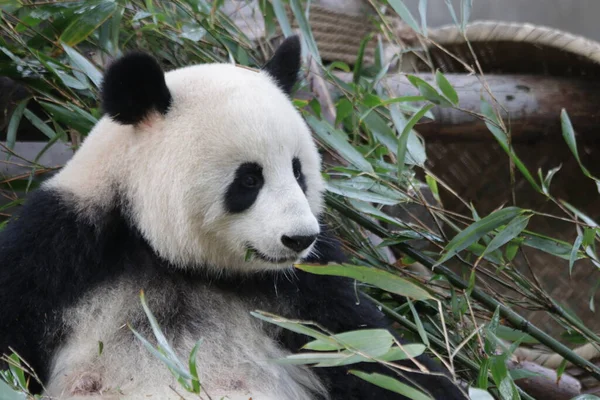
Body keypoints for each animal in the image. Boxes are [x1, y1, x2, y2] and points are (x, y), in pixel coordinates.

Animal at [0, 37, 466, 400]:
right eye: (249, 179)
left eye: (298, 171)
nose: (299, 238)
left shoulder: (312, 286)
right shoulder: (60, 250)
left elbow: (374, 357)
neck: (176, 261)